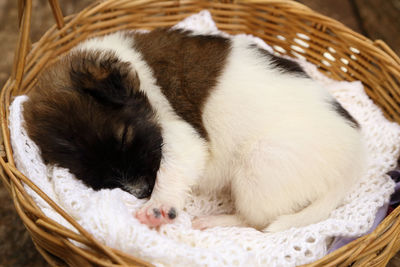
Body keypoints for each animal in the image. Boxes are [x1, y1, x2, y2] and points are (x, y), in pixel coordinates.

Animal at [22, 27, 366, 232]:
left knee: (257, 221)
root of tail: (353, 164)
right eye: (90, 172)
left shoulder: (183, 135)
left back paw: (213, 220)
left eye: (124, 136)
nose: (141, 192)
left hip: (259, 164)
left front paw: (158, 206)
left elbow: (170, 169)